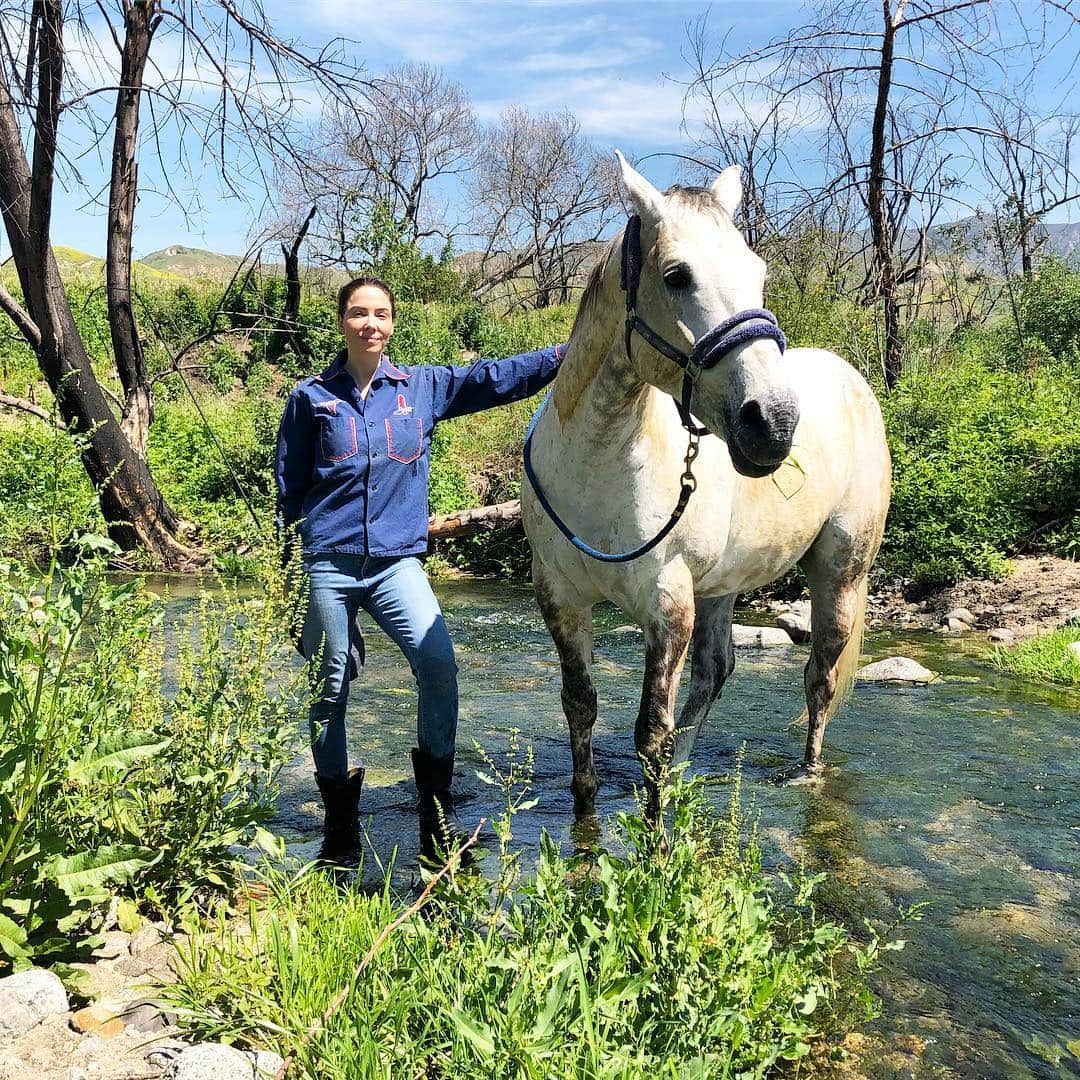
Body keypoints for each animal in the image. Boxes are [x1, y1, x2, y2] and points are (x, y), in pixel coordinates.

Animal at [520, 154, 885, 825]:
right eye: (676, 275)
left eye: (757, 272)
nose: (773, 422)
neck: (599, 467)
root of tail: (852, 380)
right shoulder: (561, 597)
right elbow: (581, 706)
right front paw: (588, 813)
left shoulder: (668, 603)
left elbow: (649, 730)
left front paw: (655, 834)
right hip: (722, 585)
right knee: (716, 672)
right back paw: (687, 770)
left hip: (841, 573)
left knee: (819, 677)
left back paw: (806, 771)